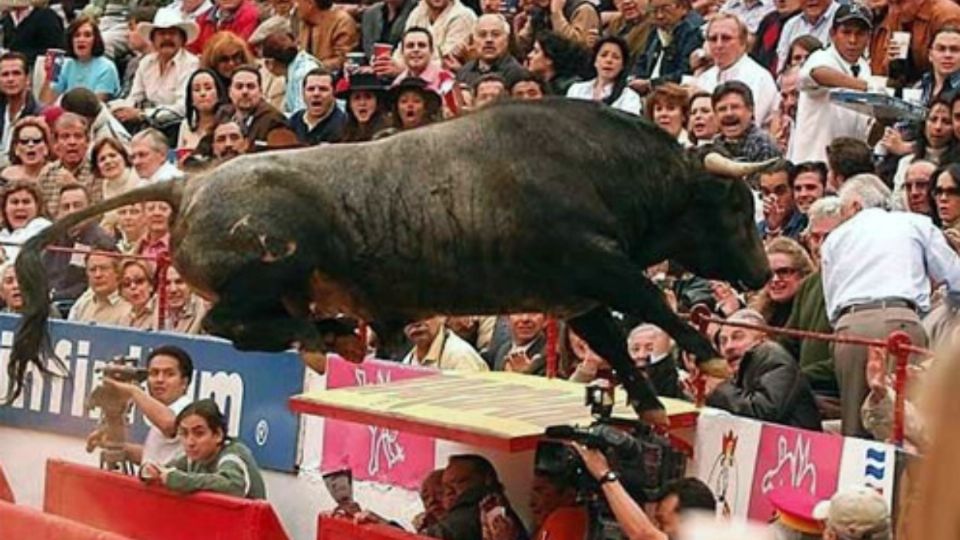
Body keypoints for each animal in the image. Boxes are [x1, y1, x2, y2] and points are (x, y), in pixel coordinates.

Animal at [5, 100, 772, 422]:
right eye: (737, 208)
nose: (764, 275)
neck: (601, 169)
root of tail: (188, 183)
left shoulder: (574, 296)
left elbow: (616, 340)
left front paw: (647, 404)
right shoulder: (596, 269)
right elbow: (650, 303)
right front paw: (708, 359)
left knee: (244, 328)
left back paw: (337, 336)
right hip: (272, 268)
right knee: (237, 324)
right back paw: (325, 339)